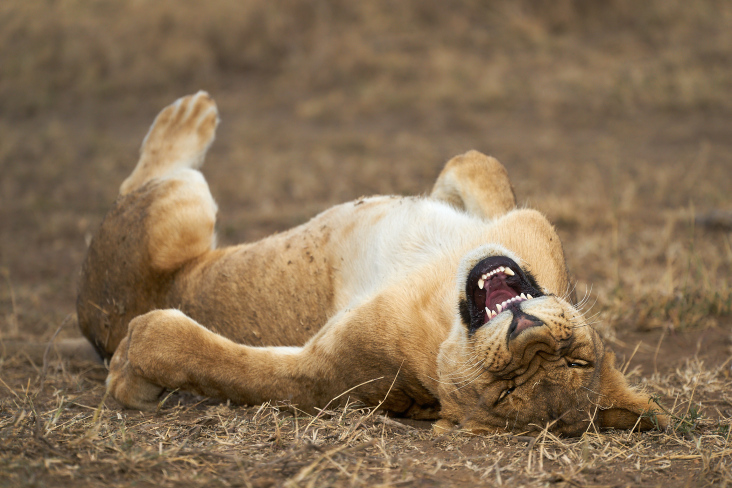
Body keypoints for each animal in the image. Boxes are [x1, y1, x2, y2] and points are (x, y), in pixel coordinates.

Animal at [77, 91, 668, 434]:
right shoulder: (514, 222)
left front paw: (130, 371)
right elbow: (478, 163)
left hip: (178, 210)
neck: (442, 296)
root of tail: (90, 321)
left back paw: (186, 118)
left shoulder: (325, 375)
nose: (531, 337)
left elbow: (215, 362)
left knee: (151, 182)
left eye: (506, 392)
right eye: (579, 361)